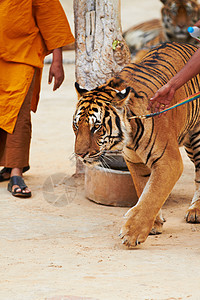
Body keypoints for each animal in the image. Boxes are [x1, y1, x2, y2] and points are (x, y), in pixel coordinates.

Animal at [73, 42, 200, 247]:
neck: (130, 135)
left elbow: (153, 194)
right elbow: (144, 190)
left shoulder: (168, 161)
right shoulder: (135, 162)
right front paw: (154, 224)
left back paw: (195, 210)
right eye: (76, 125)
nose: (80, 154)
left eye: (96, 127)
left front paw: (132, 233)